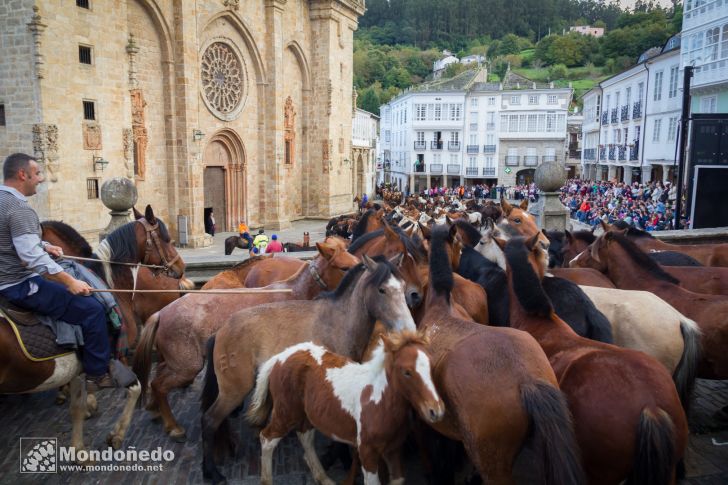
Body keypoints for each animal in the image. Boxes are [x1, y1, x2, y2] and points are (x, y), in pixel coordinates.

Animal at [132, 240, 360, 440]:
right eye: (344, 267)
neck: (293, 293)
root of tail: (161, 314)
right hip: (187, 366)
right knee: (159, 385)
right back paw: (173, 427)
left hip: (176, 362)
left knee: (157, 378)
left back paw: (155, 410)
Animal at [200, 255, 416, 482]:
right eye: (382, 290)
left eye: (402, 287)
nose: (409, 331)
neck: (337, 323)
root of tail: (220, 332)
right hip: (233, 392)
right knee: (209, 421)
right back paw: (212, 472)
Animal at [249, 330, 444, 484]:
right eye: (407, 372)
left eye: (432, 365)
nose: (436, 411)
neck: (378, 401)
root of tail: (279, 357)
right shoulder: (367, 453)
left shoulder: (394, 449)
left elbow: (398, 480)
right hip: (286, 413)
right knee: (267, 439)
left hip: (307, 414)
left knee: (305, 437)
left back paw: (324, 479)